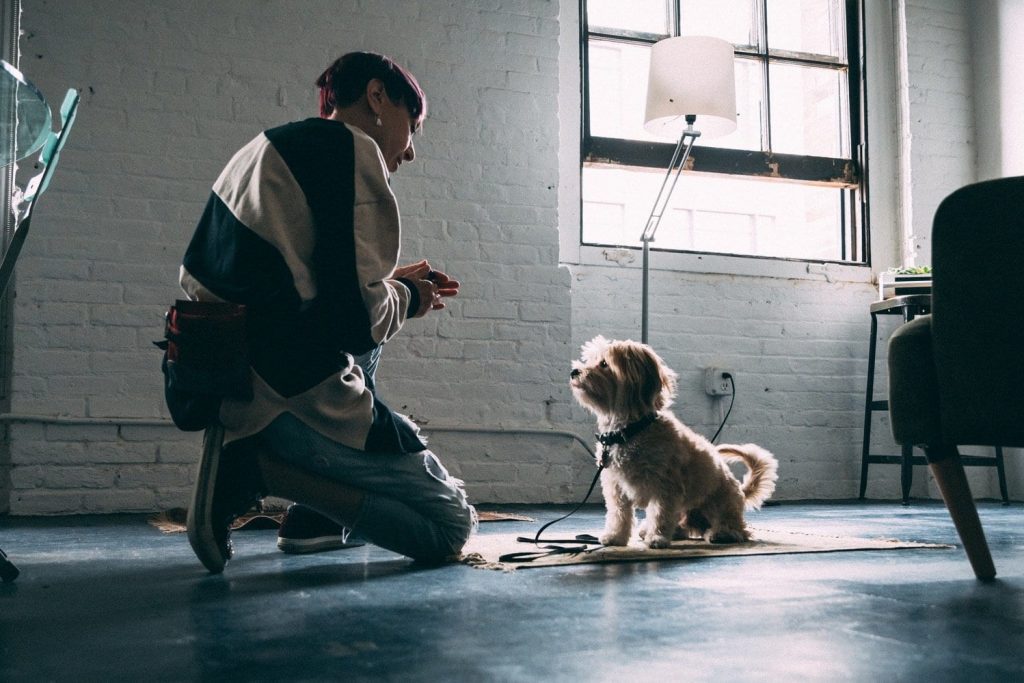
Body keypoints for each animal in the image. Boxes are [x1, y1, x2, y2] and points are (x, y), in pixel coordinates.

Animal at [573, 335, 778, 548]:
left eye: (604, 364)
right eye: (589, 360)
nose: (574, 371)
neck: (631, 430)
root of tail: (741, 492)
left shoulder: (665, 485)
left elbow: (660, 513)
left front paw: (657, 537)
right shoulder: (616, 487)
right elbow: (619, 514)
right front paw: (615, 537)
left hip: (719, 502)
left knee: (739, 530)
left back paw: (722, 533)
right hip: (685, 511)